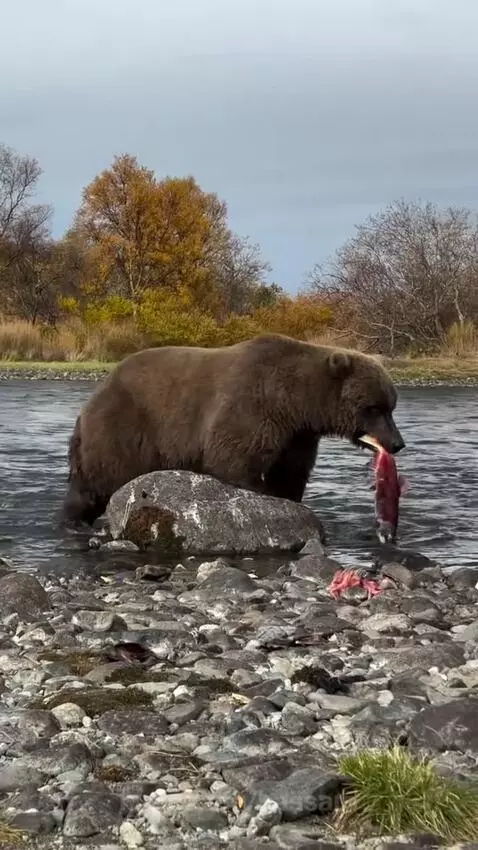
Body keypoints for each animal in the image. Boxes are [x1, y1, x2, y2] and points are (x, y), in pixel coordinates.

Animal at [62, 333, 405, 525]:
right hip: (125, 425)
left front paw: (288, 494)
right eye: (374, 408)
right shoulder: (254, 405)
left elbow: (291, 470)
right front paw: (263, 491)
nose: (398, 443)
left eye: (391, 406)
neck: (296, 401)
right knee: (101, 479)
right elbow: (232, 457)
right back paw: (77, 517)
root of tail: (93, 396)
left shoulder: (298, 434)